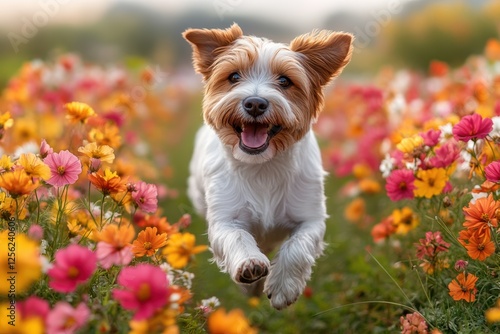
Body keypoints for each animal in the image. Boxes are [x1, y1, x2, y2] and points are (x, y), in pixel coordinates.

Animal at [183, 24, 352, 310]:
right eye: (234, 76)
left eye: (285, 81)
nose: (255, 103)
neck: (263, 166)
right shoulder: (225, 219)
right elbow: (237, 237)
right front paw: (249, 267)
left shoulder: (311, 218)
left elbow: (297, 247)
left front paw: (283, 287)